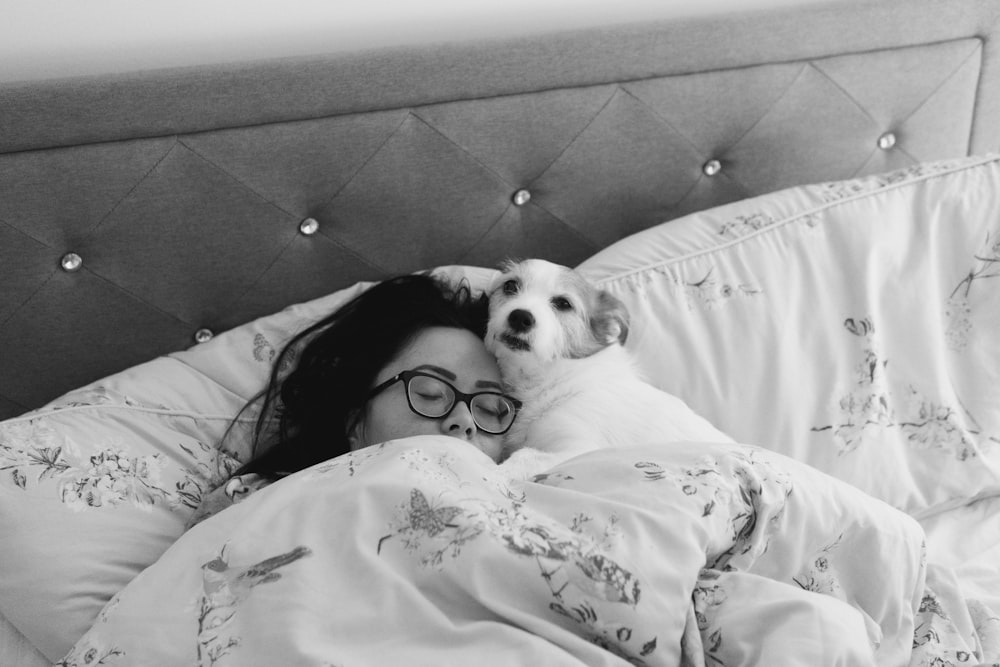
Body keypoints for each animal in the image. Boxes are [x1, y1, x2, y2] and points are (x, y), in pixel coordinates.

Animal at [486, 258, 736, 480]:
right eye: (510, 286)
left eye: (563, 304)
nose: (520, 317)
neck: (554, 379)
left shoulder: (577, 448)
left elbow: (526, 455)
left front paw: (495, 474)